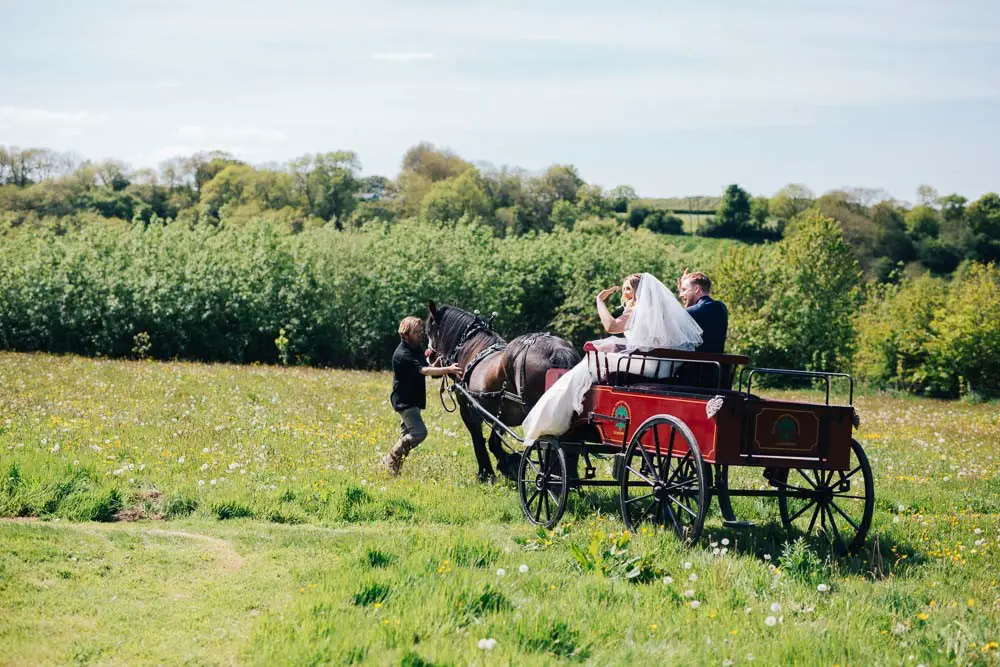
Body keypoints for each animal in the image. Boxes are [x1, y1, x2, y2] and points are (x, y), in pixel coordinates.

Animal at [424, 304, 580, 486]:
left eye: (430, 330)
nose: (429, 357)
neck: (472, 349)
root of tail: (557, 349)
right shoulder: (500, 413)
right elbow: (494, 441)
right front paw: (509, 465)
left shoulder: (468, 410)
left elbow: (479, 440)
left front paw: (487, 473)